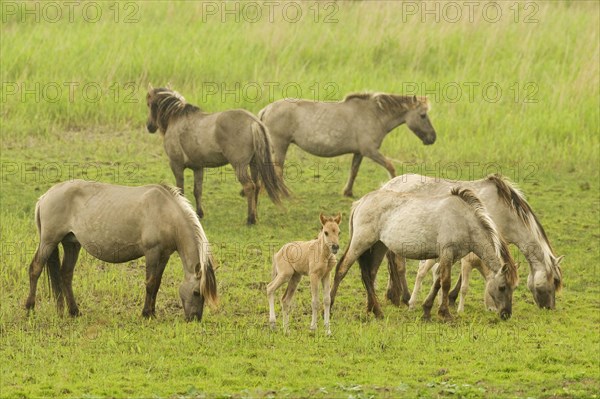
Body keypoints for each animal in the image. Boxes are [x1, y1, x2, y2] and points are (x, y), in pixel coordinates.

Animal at [26, 181, 218, 322]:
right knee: (35, 269)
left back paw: (74, 312)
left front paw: (152, 312)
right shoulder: (152, 253)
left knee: (65, 274)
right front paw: (146, 314)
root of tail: (45, 196)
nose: (195, 319)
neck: (165, 212)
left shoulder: (164, 255)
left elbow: (157, 284)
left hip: (71, 243)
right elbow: (150, 283)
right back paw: (29, 309)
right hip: (49, 241)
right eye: (196, 292)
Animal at [146, 85, 290, 225]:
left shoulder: (176, 165)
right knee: (257, 185)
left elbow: (180, 191)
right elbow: (197, 190)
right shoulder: (198, 167)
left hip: (240, 166)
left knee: (249, 186)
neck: (176, 119)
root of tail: (254, 122)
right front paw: (199, 214)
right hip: (254, 164)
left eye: (148, 103)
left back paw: (250, 219)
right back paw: (255, 216)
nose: (149, 126)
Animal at [258, 91, 436, 197]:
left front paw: (348, 192)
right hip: (280, 145)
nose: (432, 138)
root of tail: (266, 109)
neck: (375, 115)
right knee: (277, 170)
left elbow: (354, 171)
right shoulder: (370, 151)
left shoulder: (359, 153)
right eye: (422, 115)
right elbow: (391, 167)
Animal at [330, 188, 516, 322]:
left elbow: (438, 283)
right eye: (502, 287)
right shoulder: (447, 253)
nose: (506, 314)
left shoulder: (449, 257)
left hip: (378, 247)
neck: (463, 220)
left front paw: (427, 310)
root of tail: (361, 202)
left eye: (513, 288)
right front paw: (445, 314)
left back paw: (376, 311)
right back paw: (330, 306)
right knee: (341, 269)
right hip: (360, 243)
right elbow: (445, 283)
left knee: (369, 275)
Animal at [380, 174, 564, 310]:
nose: (550, 308)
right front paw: (452, 299)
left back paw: (393, 295)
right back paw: (404, 297)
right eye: (555, 281)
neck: (503, 211)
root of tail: (385, 186)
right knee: (399, 266)